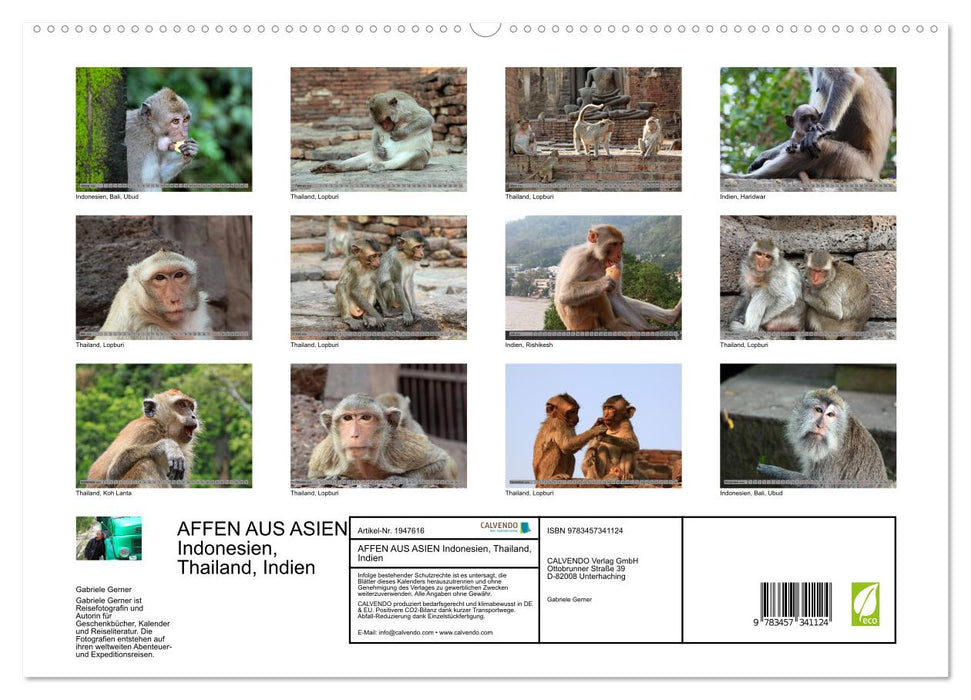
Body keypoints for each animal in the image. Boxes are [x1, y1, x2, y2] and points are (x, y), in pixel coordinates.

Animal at [307, 393, 457, 485]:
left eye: (366, 418)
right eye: (347, 418)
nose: (355, 434)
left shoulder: (399, 449)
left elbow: (441, 460)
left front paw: (400, 478)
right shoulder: (326, 454)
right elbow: (314, 476)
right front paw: (335, 477)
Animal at [729, 68, 893, 181]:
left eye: (812, 119)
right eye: (804, 119)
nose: (810, 125)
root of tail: (874, 170)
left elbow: (845, 78)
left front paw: (818, 132)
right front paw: (763, 156)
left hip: (853, 163)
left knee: (822, 146)